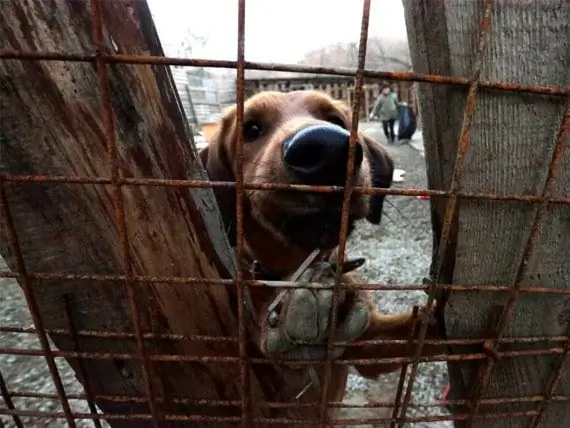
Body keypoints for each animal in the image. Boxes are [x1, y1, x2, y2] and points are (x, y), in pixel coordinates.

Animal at [197, 89, 442, 418]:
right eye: (251, 129)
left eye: (336, 120)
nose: (326, 147)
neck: (296, 265)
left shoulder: (370, 343)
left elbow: (429, 327)